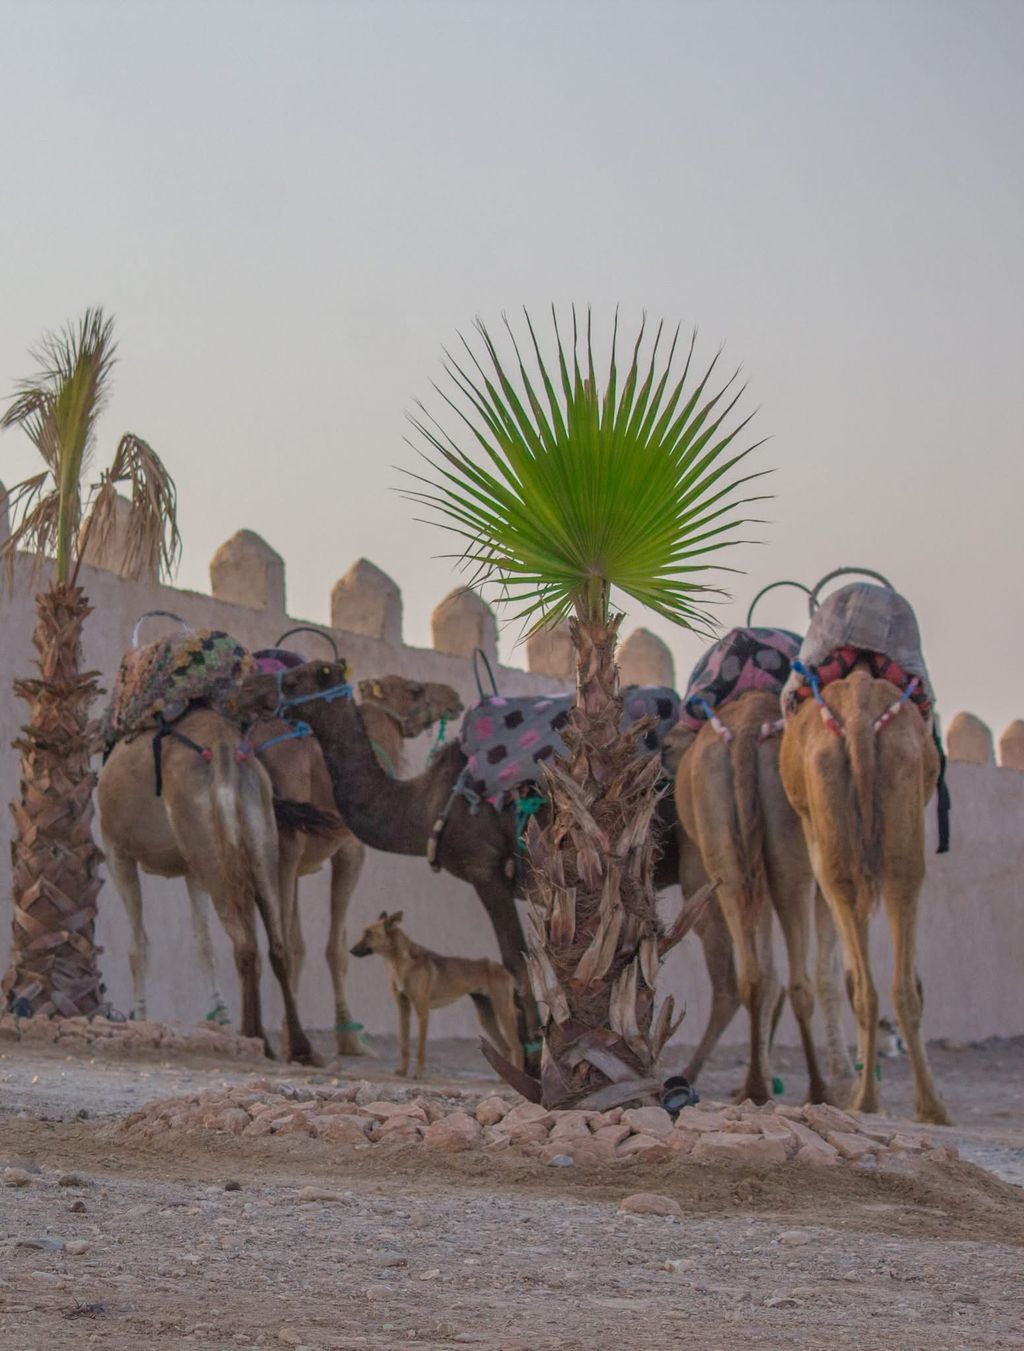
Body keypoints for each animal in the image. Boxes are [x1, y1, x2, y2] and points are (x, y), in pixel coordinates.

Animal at [96, 708, 313, 1062]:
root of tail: (223, 754)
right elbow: (203, 943)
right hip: (256, 839)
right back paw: (299, 1047)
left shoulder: (116, 850)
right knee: (276, 945)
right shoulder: (191, 870)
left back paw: (256, 1038)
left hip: (204, 841)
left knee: (245, 944)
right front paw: (221, 1014)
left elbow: (138, 946)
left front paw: (140, 1018)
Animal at [675, 690, 853, 1104]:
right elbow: (830, 976)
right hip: (791, 856)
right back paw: (817, 1089)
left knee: (752, 977)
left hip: (725, 852)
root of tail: (745, 734)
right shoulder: (826, 881)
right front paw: (846, 1082)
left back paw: (755, 1084)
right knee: (799, 981)